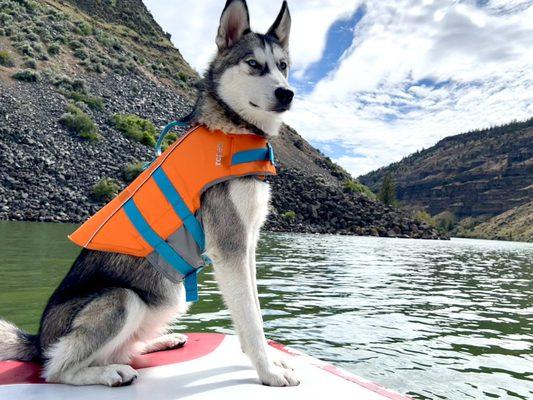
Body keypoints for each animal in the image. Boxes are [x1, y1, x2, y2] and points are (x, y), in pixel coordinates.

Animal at [0, 0, 298, 390]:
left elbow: (256, 314)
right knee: (56, 369)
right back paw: (107, 372)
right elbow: (250, 319)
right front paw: (268, 372)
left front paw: (273, 360)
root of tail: (38, 338)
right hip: (122, 299)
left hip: (165, 302)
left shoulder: (247, 242)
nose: (286, 93)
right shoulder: (229, 245)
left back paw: (159, 342)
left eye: (283, 66)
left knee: (125, 347)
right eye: (253, 64)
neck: (233, 131)